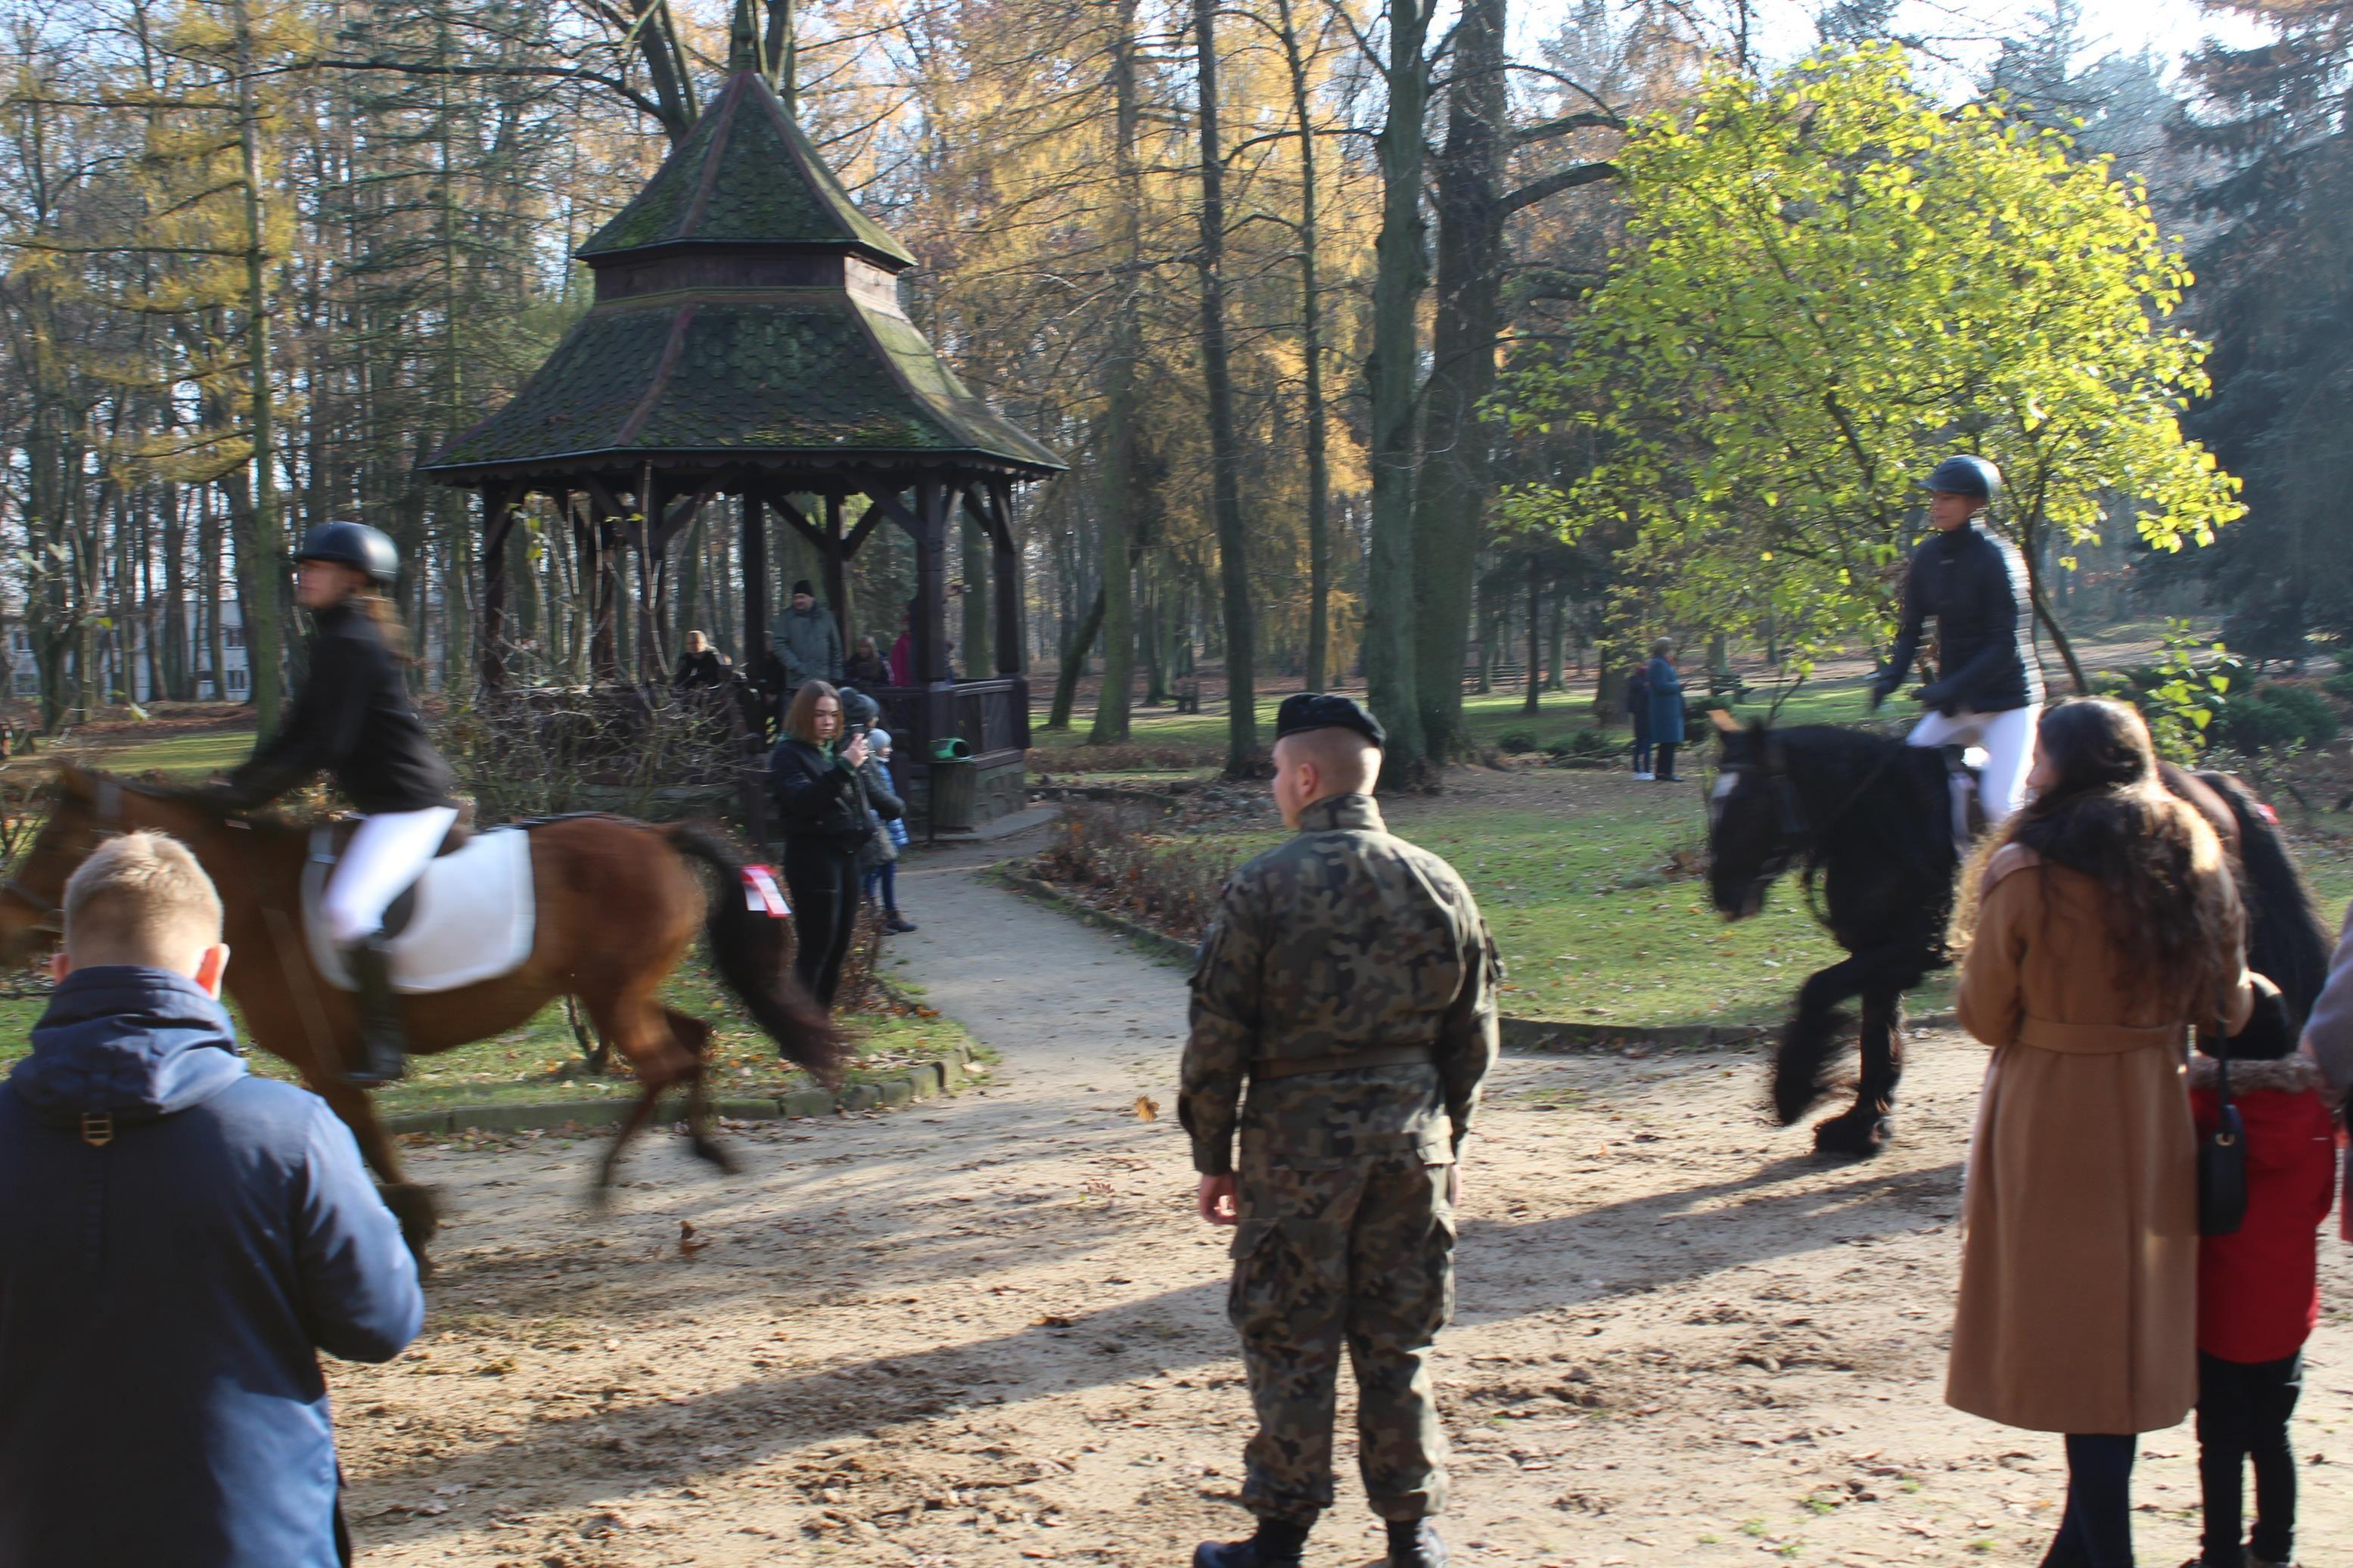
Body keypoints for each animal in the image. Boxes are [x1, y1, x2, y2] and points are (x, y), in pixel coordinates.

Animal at [0, 766, 842, 1269]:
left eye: (56, 838)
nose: (10, 925)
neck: (253, 894)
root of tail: (656, 834)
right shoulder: (328, 1066)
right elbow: (365, 1139)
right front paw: (414, 1220)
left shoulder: (324, 1061)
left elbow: (368, 1141)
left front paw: (416, 1221)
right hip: (615, 991)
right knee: (692, 1043)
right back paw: (706, 1147)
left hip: (613, 995)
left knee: (665, 1062)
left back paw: (607, 1181)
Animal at [1703, 719, 2324, 1161]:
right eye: (1715, 798)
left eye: (1747, 800)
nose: (1722, 895)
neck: (1878, 816)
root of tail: (2208, 782)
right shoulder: (1880, 951)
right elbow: (1876, 1033)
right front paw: (1863, 1124)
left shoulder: (1912, 949)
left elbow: (1818, 990)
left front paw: (1794, 1092)